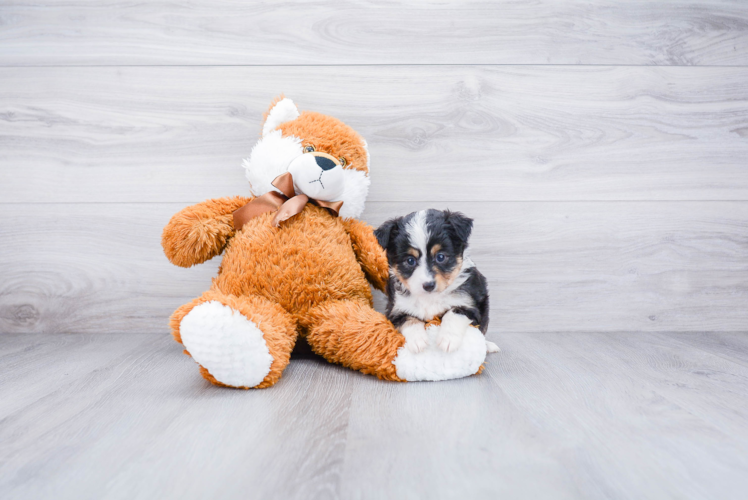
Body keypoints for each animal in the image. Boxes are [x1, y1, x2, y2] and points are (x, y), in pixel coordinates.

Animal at [376, 209, 500, 354]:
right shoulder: (395, 310)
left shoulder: (470, 305)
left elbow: (453, 314)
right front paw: (418, 341)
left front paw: (448, 340)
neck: (430, 298)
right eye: (410, 260)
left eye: (440, 257)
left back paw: (488, 346)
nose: (428, 285)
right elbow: (409, 320)